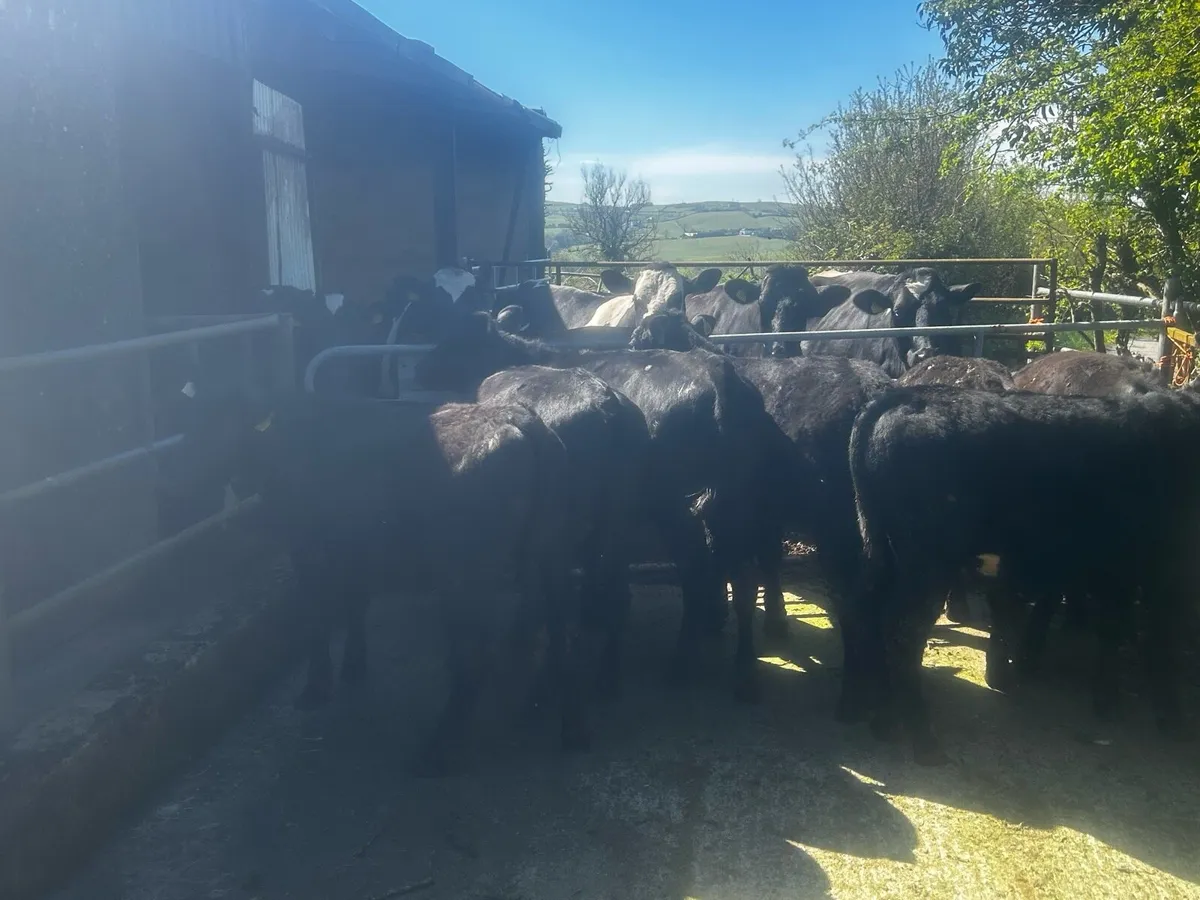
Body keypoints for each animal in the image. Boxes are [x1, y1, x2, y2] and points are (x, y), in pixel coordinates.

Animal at [168, 387, 588, 775]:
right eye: (189, 425)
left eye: (220, 424)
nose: (176, 481)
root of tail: (518, 419)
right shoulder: (354, 545)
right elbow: (357, 601)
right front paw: (354, 667)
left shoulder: (307, 545)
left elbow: (316, 616)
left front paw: (316, 688)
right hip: (551, 550)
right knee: (563, 634)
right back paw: (570, 730)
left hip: (465, 572)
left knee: (474, 657)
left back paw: (437, 749)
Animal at [414, 309, 786, 703]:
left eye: (456, 337)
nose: (420, 369)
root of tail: (720, 375)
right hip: (735, 498)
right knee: (741, 578)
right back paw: (742, 671)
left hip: (670, 503)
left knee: (695, 569)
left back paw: (679, 662)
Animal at [849, 385, 1200, 764]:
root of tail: (904, 395)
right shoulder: (1168, 569)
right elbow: (1162, 642)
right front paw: (1172, 720)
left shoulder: (1119, 569)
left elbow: (1113, 630)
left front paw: (1107, 701)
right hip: (928, 563)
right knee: (904, 633)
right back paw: (924, 741)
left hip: (886, 554)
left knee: (876, 619)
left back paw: (884, 722)